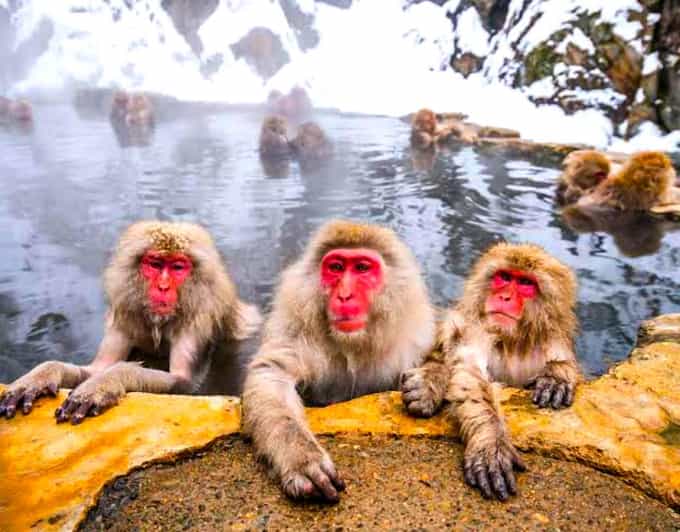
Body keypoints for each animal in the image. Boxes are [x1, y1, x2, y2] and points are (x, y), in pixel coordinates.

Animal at [0, 221, 261, 424]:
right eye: (155, 264)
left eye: (178, 267)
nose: (163, 287)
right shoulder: (125, 314)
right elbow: (97, 368)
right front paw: (41, 376)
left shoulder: (198, 320)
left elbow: (185, 384)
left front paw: (105, 383)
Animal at [242, 220, 436, 502]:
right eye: (336, 267)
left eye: (362, 268)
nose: (344, 295)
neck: (352, 344)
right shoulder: (296, 330)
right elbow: (272, 373)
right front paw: (301, 458)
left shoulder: (416, 340)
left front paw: (429, 385)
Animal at [401, 242, 580, 501]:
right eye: (504, 277)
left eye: (525, 283)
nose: (504, 297)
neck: (512, 342)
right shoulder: (477, 330)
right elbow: (470, 373)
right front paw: (492, 442)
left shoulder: (551, 339)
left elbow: (562, 362)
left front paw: (556, 376)